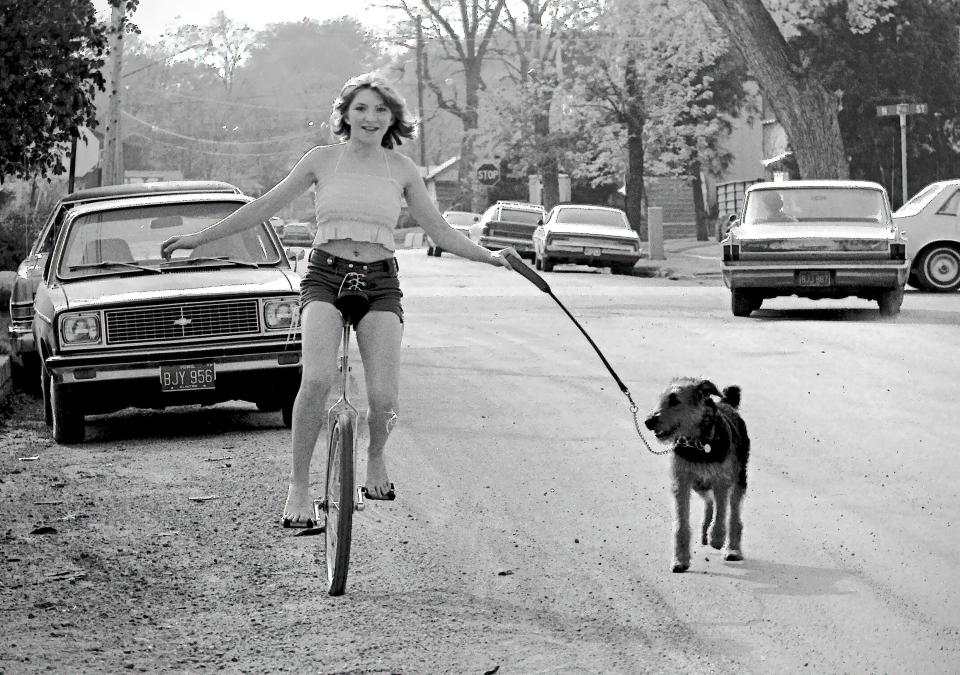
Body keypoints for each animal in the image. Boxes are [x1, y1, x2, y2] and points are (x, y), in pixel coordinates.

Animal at [644, 378, 752, 572]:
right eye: (662, 398)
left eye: (675, 400)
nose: (648, 421)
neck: (699, 444)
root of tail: (726, 403)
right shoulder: (682, 482)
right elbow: (681, 524)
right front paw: (680, 560)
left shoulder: (721, 480)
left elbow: (722, 512)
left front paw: (717, 537)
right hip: (699, 485)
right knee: (709, 503)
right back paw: (704, 530)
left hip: (738, 480)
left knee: (733, 516)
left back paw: (732, 549)